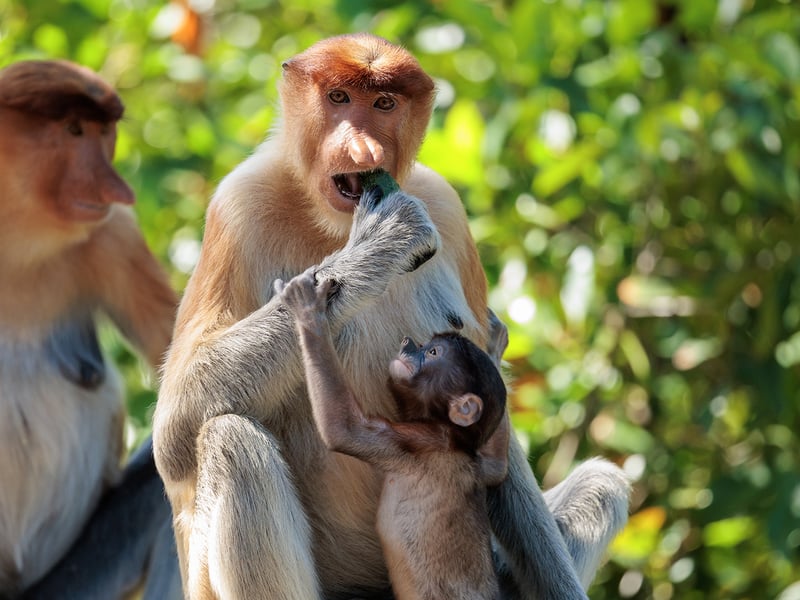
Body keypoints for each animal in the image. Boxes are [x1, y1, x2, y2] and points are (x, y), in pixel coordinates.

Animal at [276, 267, 510, 600]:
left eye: (432, 352)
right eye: (426, 345)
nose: (409, 342)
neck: (455, 440)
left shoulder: (416, 442)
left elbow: (342, 428)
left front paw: (309, 313)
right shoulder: (475, 460)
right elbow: (497, 465)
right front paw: (493, 348)